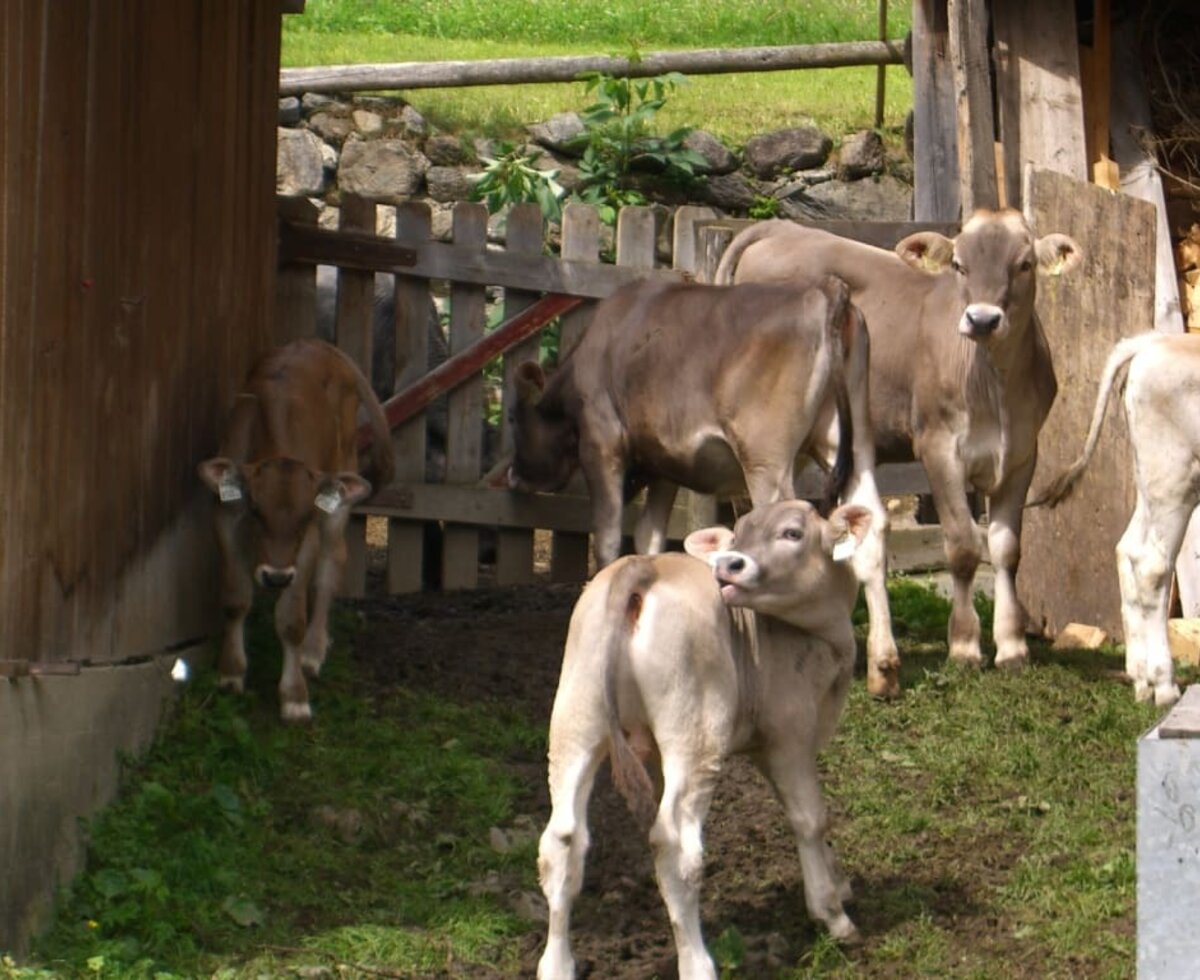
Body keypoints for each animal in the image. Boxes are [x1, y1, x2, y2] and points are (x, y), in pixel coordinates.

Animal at [198, 335, 393, 719]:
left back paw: (313, 651)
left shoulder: (310, 537)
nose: (275, 577)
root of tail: (321, 346)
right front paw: (231, 673)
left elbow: (291, 619)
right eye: (255, 511)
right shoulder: (225, 517)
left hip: (341, 487)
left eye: (304, 518)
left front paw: (294, 696)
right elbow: (235, 598)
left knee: (332, 564)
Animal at [537, 501, 873, 974]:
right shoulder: (790, 735)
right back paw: (698, 964)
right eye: (738, 534)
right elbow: (810, 816)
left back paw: (557, 966)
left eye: (792, 533)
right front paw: (832, 913)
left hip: (576, 718)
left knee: (562, 839)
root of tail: (642, 566)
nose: (729, 564)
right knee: (675, 844)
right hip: (696, 733)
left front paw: (837, 882)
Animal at [715, 209, 1084, 690]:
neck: (994, 386)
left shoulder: (1023, 453)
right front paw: (964, 646)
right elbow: (963, 546)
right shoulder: (938, 446)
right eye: (959, 265)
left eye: (1023, 264)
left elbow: (1006, 548)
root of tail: (779, 227)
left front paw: (1012, 646)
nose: (983, 320)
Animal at [1032, 333, 1200, 705]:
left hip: (1150, 481)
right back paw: (1164, 686)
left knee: (1129, 550)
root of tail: (1156, 341)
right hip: (1173, 475)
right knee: (1153, 565)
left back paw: (1141, 679)